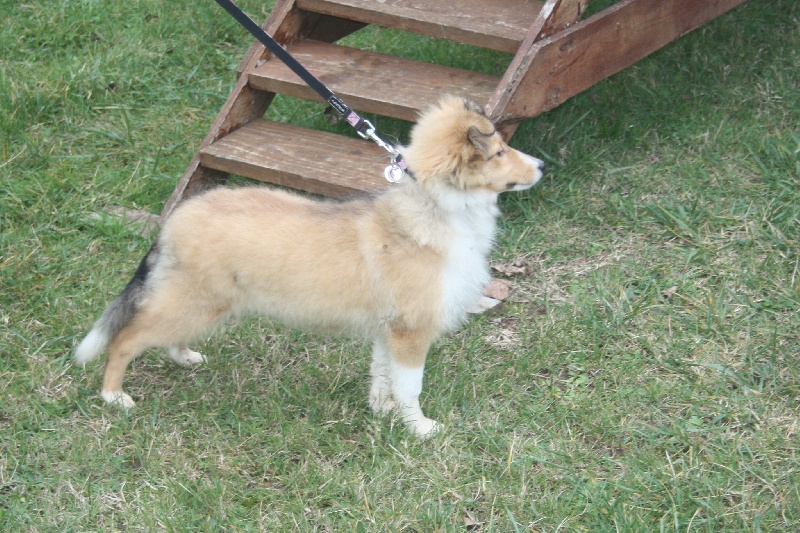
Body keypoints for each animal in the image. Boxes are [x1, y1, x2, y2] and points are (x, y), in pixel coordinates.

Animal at [75, 95, 544, 436]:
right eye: (499, 152)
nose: (542, 165)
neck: (435, 208)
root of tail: (175, 222)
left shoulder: (388, 330)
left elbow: (383, 376)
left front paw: (382, 414)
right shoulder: (411, 331)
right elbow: (410, 386)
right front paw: (421, 429)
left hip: (203, 304)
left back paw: (185, 357)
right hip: (190, 301)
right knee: (125, 340)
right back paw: (113, 397)